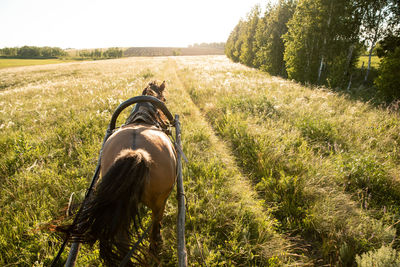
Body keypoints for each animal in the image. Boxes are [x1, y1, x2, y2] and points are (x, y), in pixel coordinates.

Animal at [69, 81, 176, 266]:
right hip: (159, 202)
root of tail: (136, 152)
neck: (142, 119)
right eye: (164, 99)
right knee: (154, 230)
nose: (166, 123)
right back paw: (155, 250)